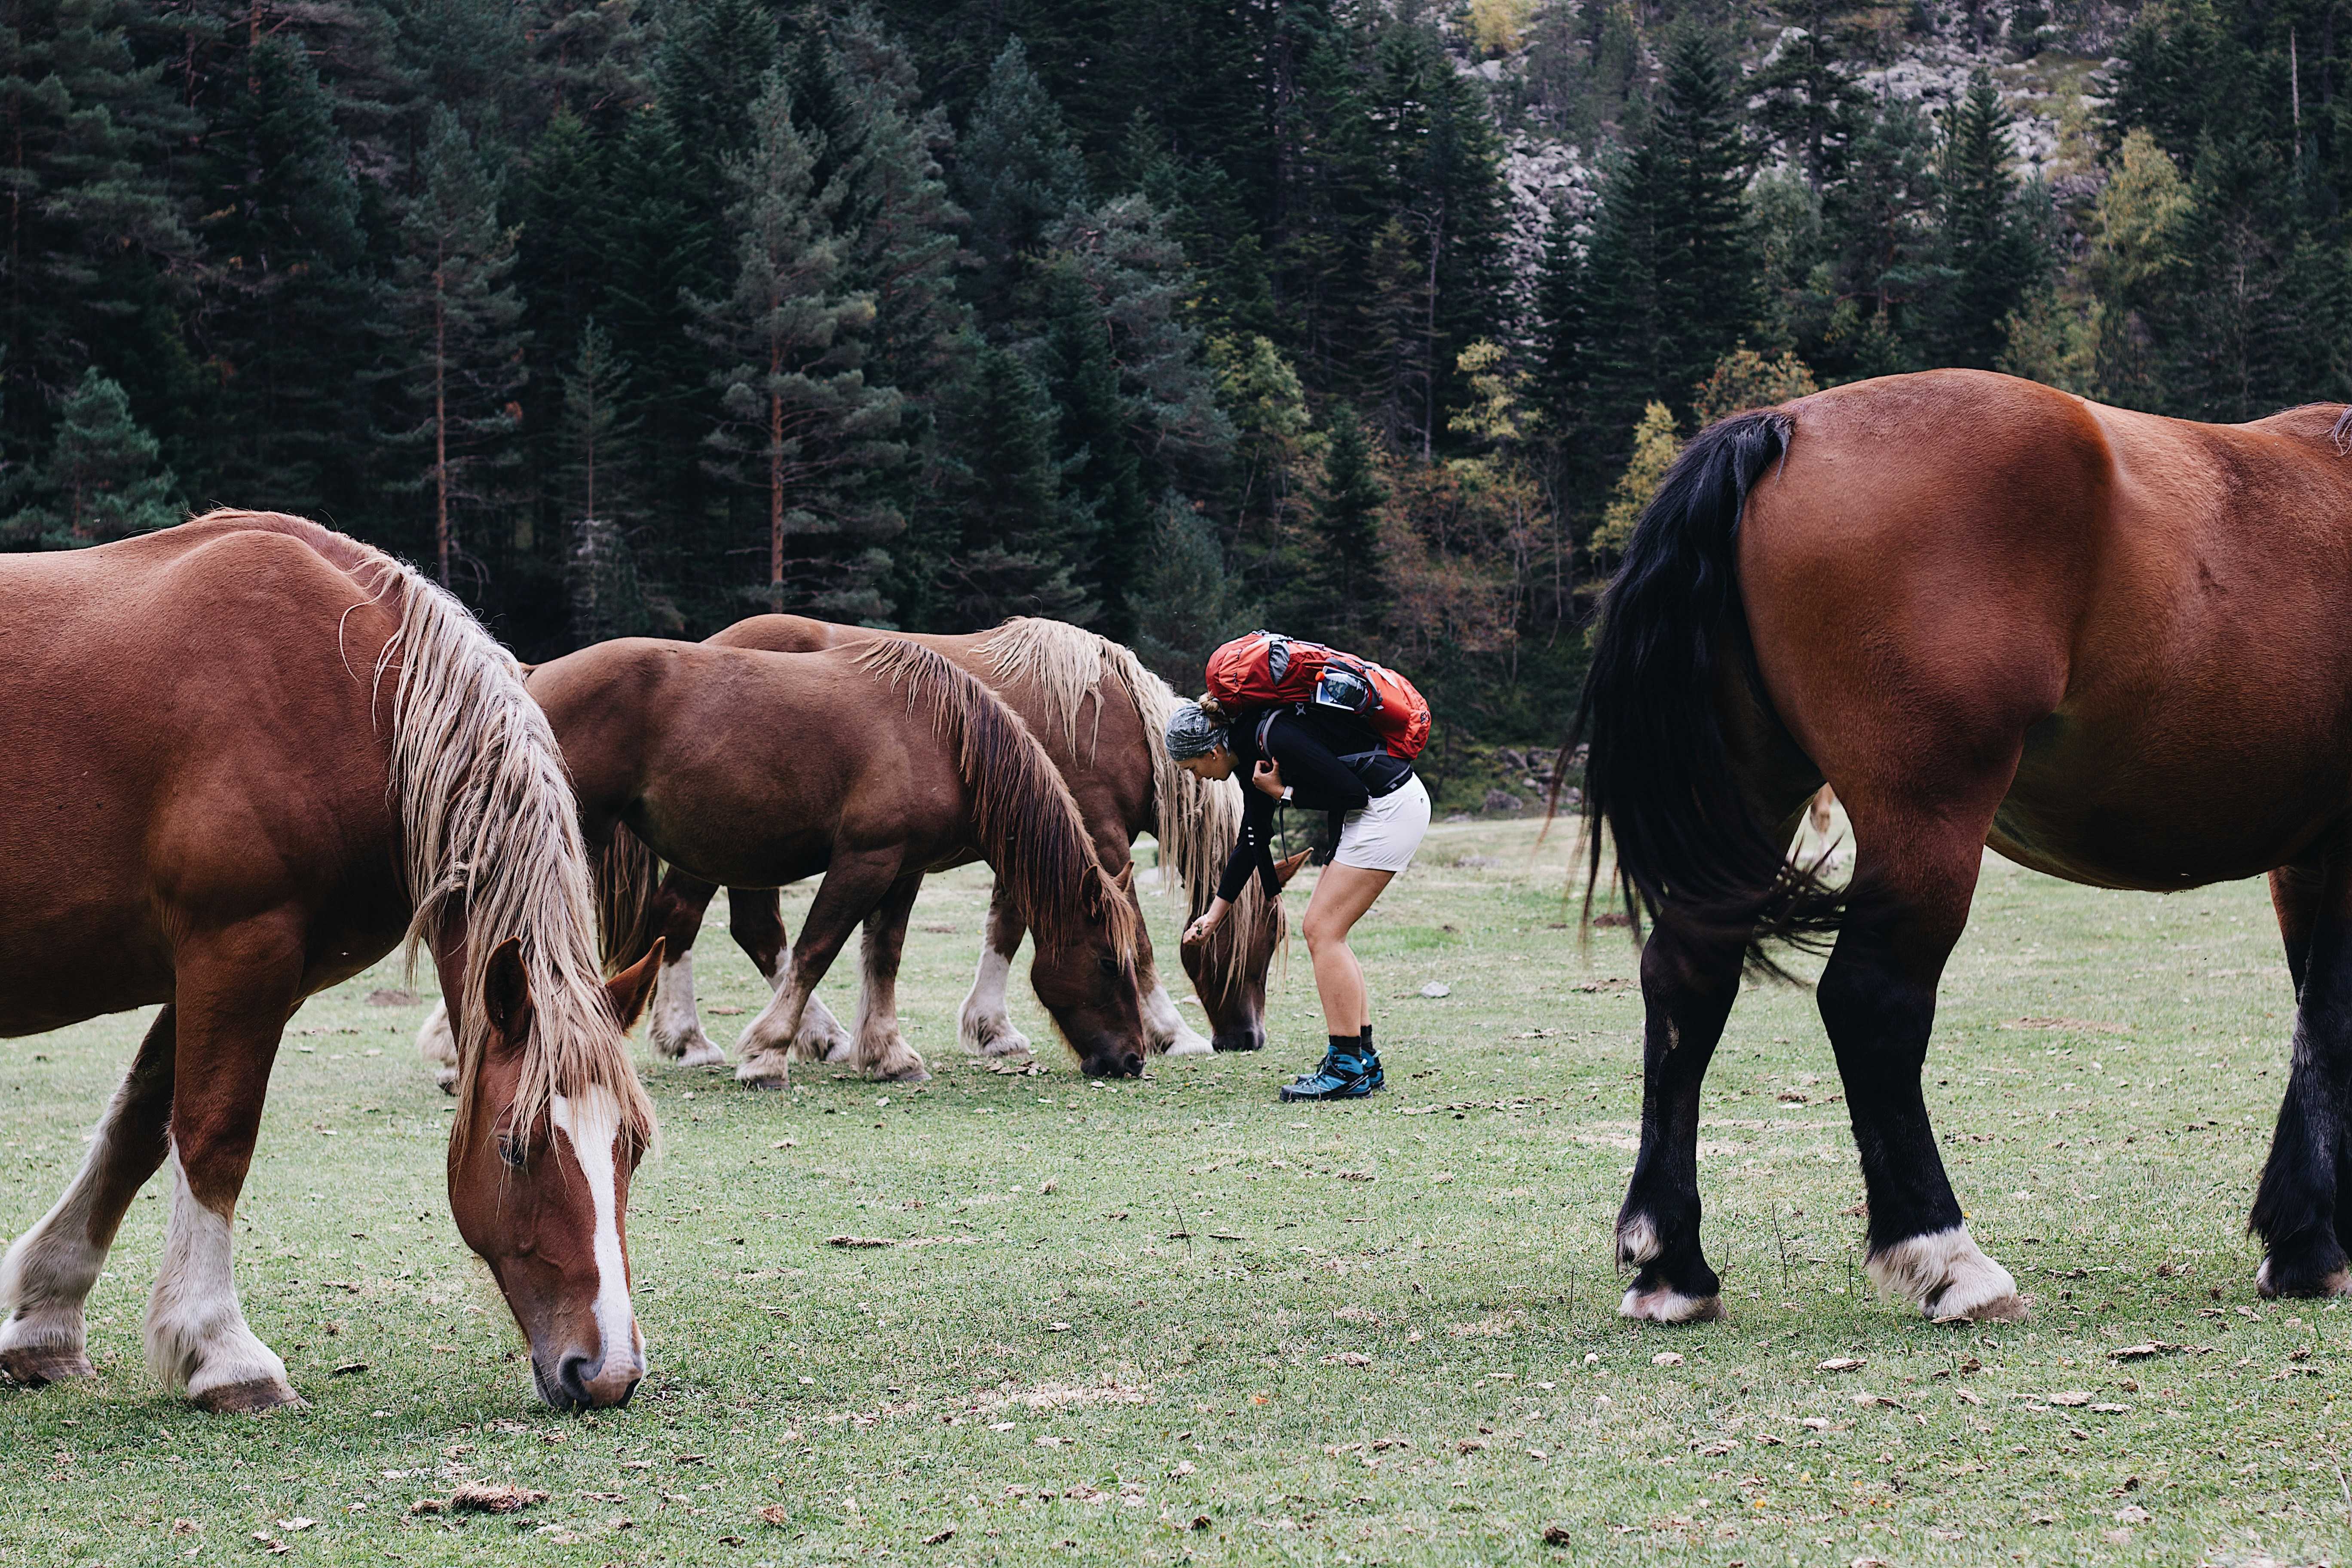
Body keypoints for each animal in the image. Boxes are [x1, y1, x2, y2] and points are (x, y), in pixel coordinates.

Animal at [0, 511, 662, 1413]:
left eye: (633, 1147)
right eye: (513, 1147)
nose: (607, 1373)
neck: (357, 696)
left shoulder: (247, 966)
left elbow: (139, 1124)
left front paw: (45, 1318)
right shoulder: (238, 945)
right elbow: (214, 1133)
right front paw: (223, 1353)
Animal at [479, 635, 1150, 1084]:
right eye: (1109, 963)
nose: (1133, 1058)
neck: (940, 736)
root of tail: (532, 675)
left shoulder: (904, 870)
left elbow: (883, 956)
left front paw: (888, 1054)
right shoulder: (865, 861)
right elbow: (816, 950)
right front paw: (768, 1053)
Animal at [1576, 368, 2352, 1325]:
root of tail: (1788, 423)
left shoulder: (2305, 855)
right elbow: (2332, 1022)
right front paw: (2310, 1245)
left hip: (1752, 798)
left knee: (1688, 979)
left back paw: (1672, 1265)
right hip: (1928, 820)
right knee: (1871, 1003)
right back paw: (1945, 1257)